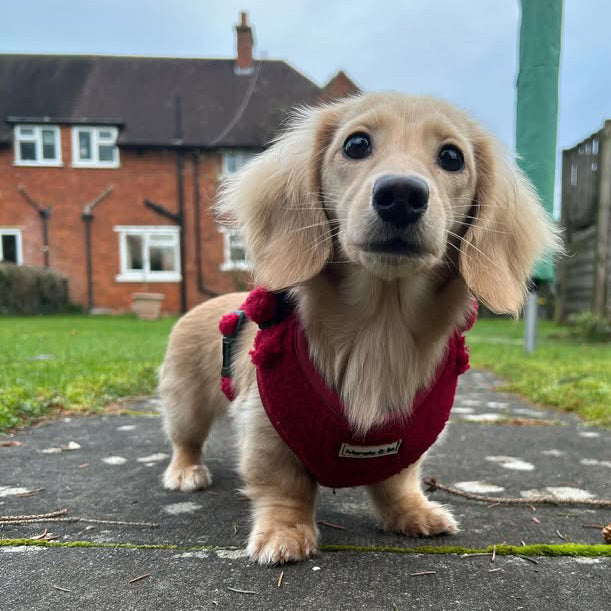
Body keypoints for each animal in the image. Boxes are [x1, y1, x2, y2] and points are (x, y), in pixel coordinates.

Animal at [159, 93, 564, 568]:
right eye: (356, 144)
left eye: (452, 157)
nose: (402, 195)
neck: (381, 330)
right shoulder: (266, 429)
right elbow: (283, 486)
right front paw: (284, 533)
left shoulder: (408, 441)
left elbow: (398, 481)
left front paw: (411, 513)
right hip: (186, 403)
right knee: (185, 439)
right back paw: (186, 471)